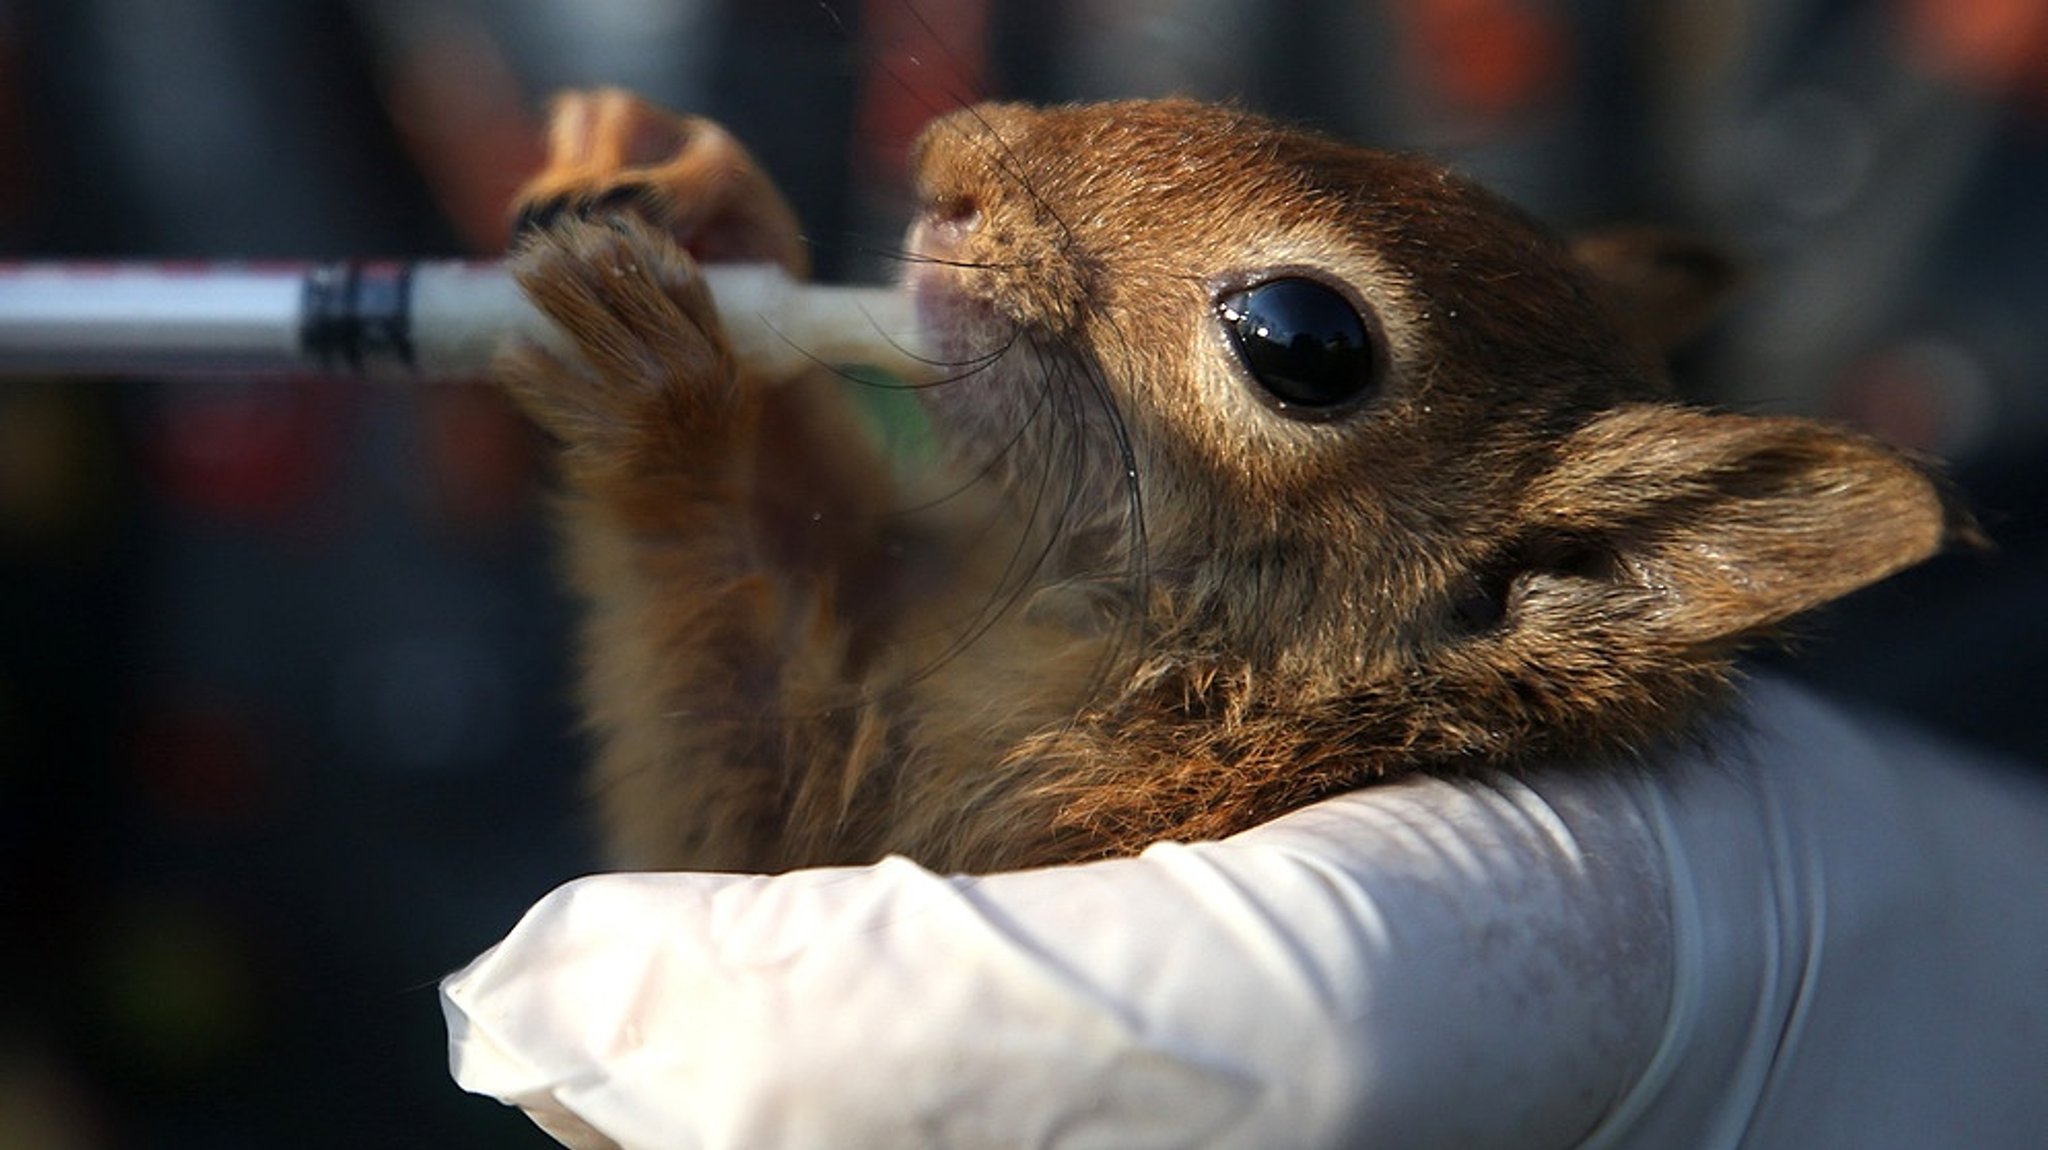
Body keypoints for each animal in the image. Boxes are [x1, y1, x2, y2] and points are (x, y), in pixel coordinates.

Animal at [495, 89, 1966, 867]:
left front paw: (662, 391)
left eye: (1306, 343)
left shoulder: (987, 820)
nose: (952, 164)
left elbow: (722, 782)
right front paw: (694, 184)